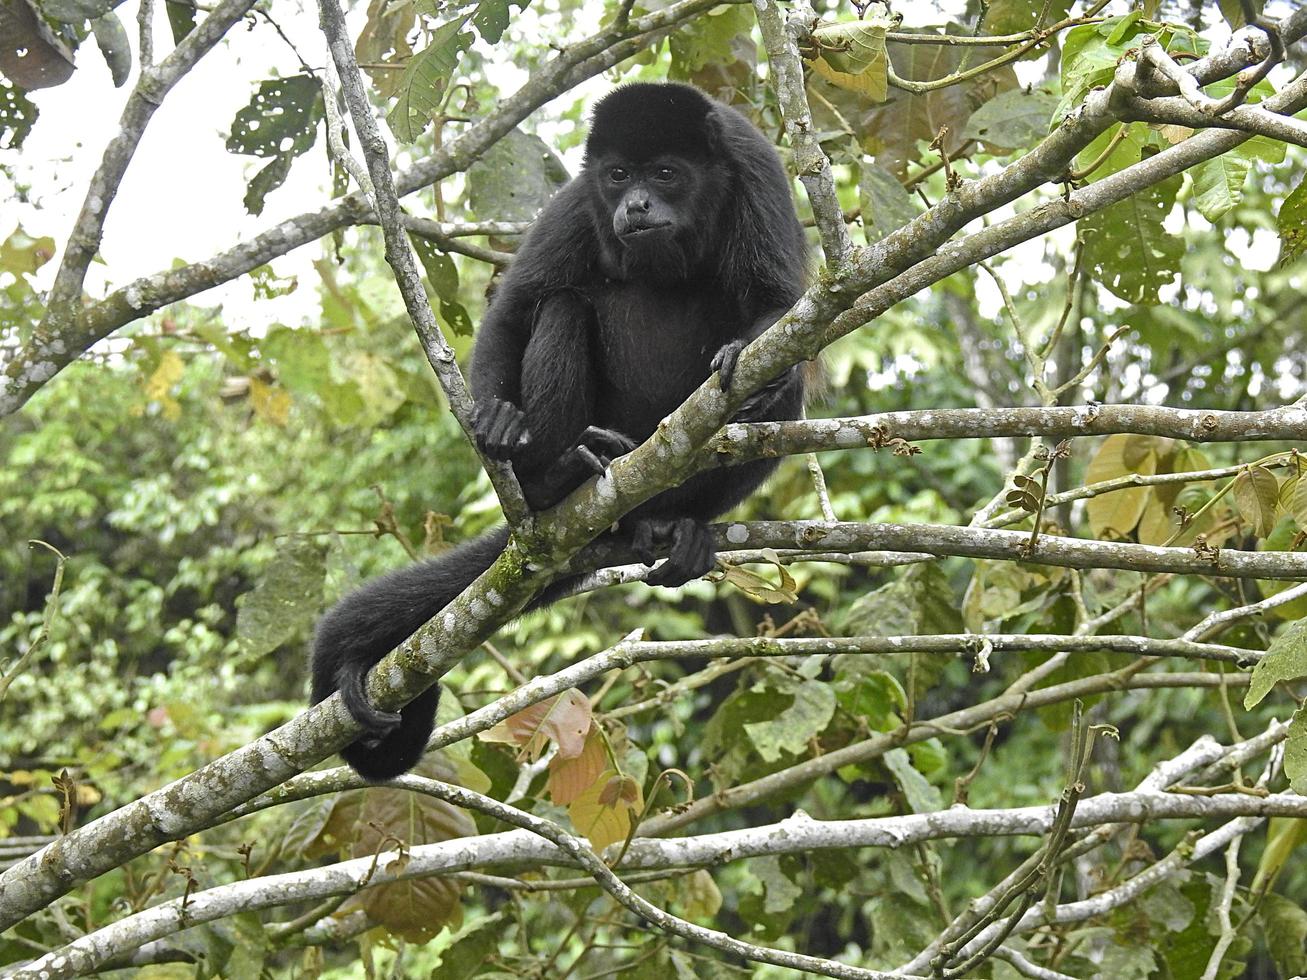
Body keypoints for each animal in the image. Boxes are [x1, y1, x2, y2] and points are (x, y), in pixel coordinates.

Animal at [313, 80, 805, 778]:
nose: (635, 203)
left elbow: (780, 306)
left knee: (792, 395)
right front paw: (497, 418)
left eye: (665, 173)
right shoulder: (578, 200)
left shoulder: (758, 174)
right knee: (563, 306)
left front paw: (745, 358)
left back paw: (676, 524)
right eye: (619, 174)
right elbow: (518, 305)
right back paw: (554, 479)